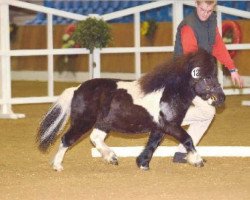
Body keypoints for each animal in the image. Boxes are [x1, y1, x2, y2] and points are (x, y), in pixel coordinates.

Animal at [36, 48, 225, 172]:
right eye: (208, 78)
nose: (222, 98)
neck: (168, 93)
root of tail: (77, 89)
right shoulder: (171, 126)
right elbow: (187, 139)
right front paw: (197, 161)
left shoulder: (160, 127)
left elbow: (152, 144)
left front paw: (142, 163)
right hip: (83, 122)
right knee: (67, 139)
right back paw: (58, 166)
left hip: (103, 123)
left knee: (95, 138)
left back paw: (111, 157)